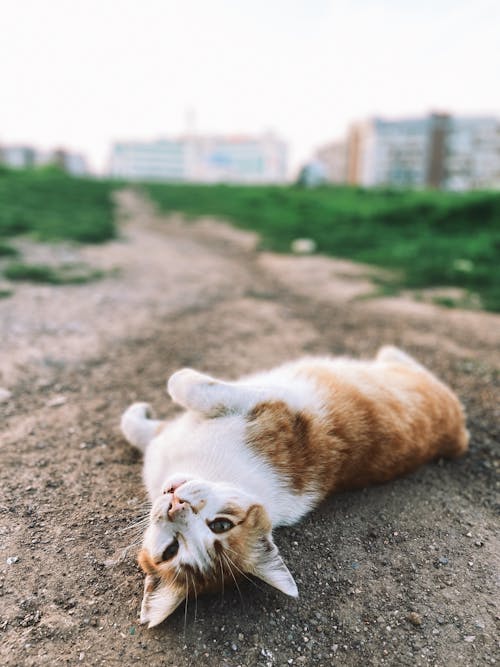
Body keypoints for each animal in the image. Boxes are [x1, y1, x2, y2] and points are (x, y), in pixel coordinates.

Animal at [120, 348, 468, 628]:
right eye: (171, 550)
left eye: (220, 525)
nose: (177, 506)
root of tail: (459, 438)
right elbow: (137, 425)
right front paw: (139, 415)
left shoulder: (272, 406)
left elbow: (181, 382)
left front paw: (162, 392)